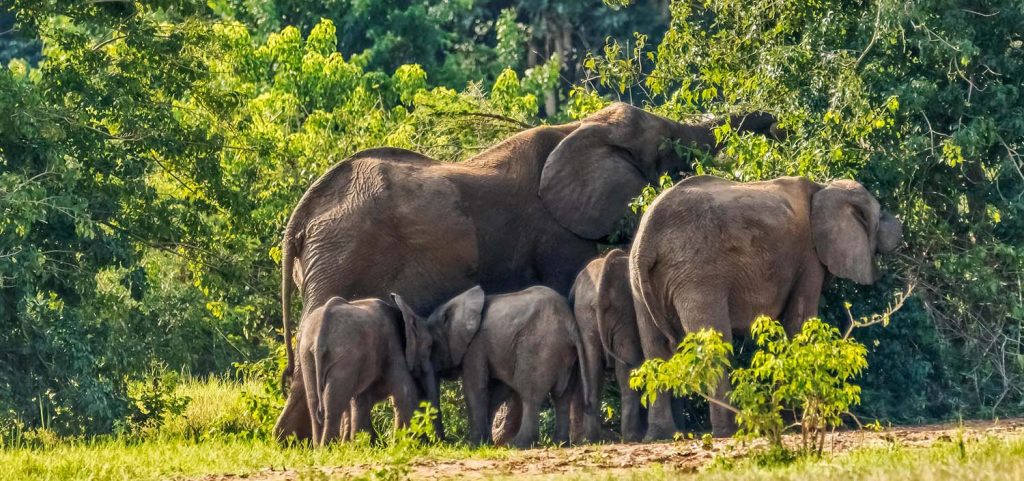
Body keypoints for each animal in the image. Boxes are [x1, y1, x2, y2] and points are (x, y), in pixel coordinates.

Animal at [295, 296, 438, 446]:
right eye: (430, 346)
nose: (437, 441)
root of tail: (320, 336)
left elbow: (361, 399)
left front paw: (362, 444)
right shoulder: (393, 346)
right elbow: (405, 393)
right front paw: (403, 444)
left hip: (306, 354)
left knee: (314, 402)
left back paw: (319, 447)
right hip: (344, 355)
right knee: (333, 404)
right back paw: (327, 447)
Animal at [394, 285, 594, 448]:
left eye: (431, 346)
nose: (446, 442)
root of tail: (571, 326)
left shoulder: (476, 345)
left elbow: (475, 388)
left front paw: (474, 445)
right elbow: (498, 391)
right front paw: (485, 443)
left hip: (540, 347)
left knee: (530, 394)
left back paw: (517, 445)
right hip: (569, 355)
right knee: (562, 396)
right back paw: (560, 443)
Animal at [568, 248, 645, 443]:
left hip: (586, 313)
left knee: (592, 370)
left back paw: (593, 439)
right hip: (623, 310)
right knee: (627, 369)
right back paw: (633, 437)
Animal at [629, 175, 903, 439]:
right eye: (880, 214)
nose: (900, 224)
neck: (824, 187)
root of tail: (647, 239)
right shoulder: (809, 257)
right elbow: (798, 323)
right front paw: (798, 421)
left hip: (639, 282)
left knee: (654, 350)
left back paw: (660, 435)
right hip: (697, 274)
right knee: (714, 346)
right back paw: (730, 430)